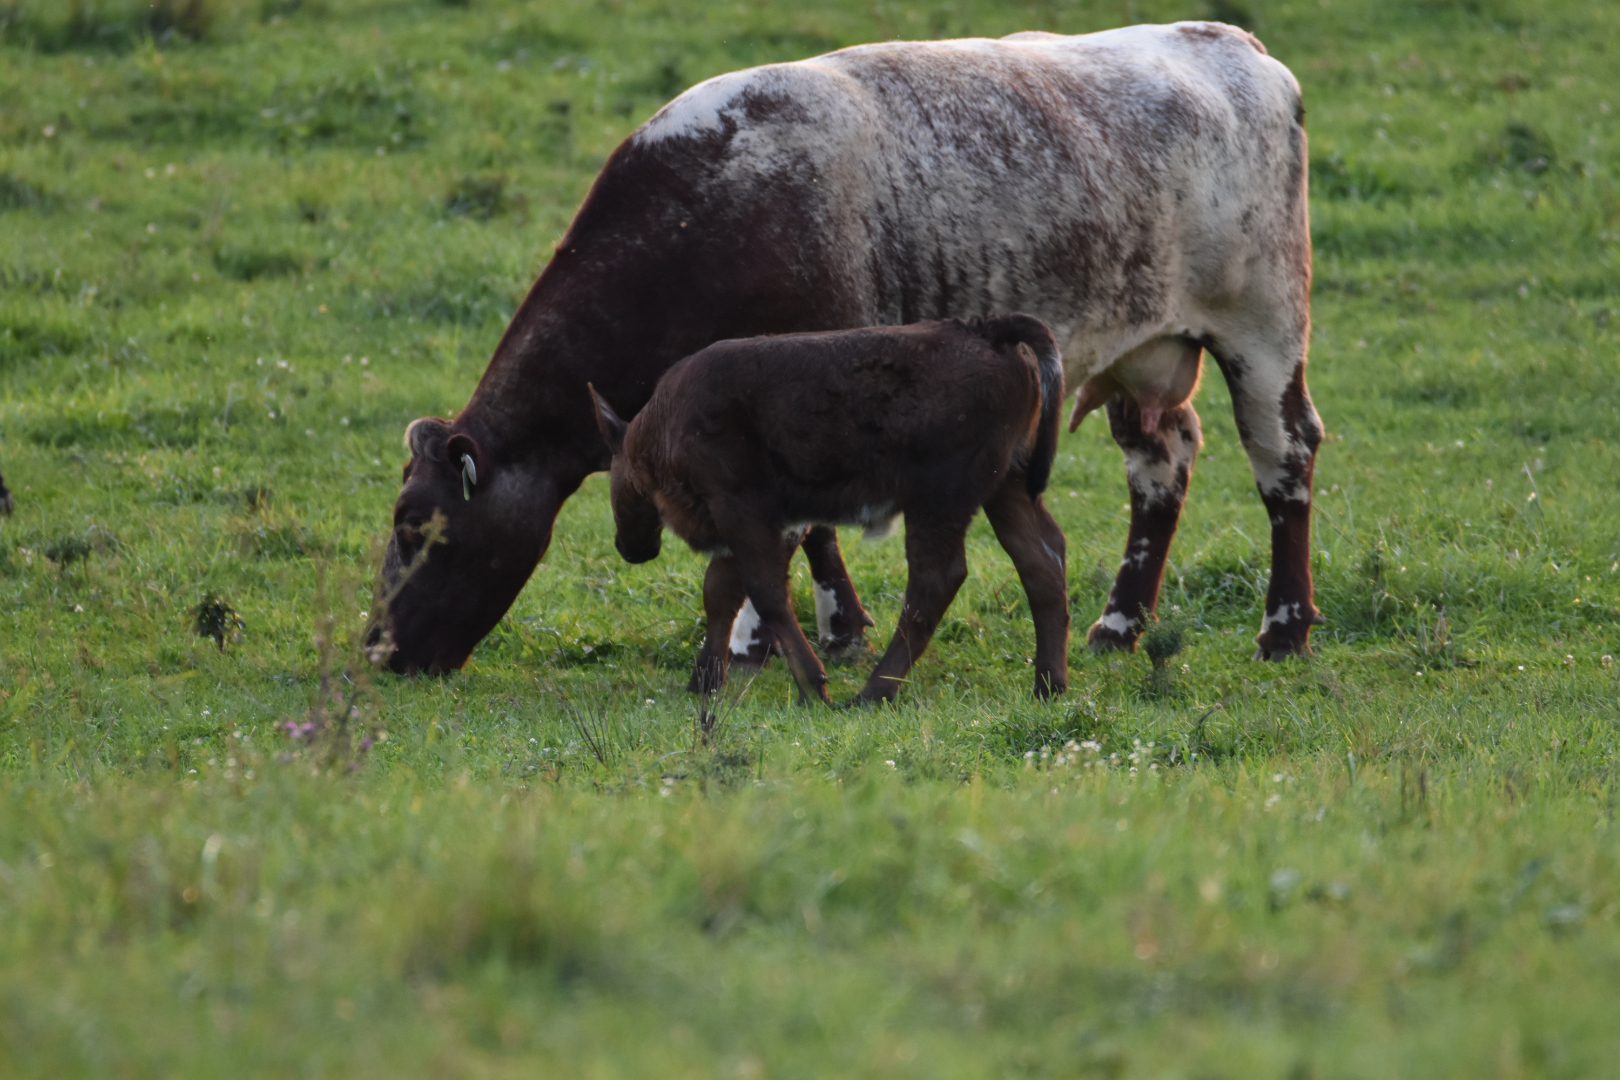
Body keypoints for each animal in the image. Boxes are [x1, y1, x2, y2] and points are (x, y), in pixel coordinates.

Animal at [589, 315, 1069, 704]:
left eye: (614, 473)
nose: (628, 547)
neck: (662, 427)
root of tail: (988, 329)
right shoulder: (769, 520)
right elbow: (722, 591)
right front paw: (704, 681)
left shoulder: (741, 506)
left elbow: (763, 591)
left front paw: (813, 685)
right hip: (1008, 485)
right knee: (1042, 560)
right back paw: (1049, 685)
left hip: (939, 499)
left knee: (937, 580)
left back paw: (874, 692)